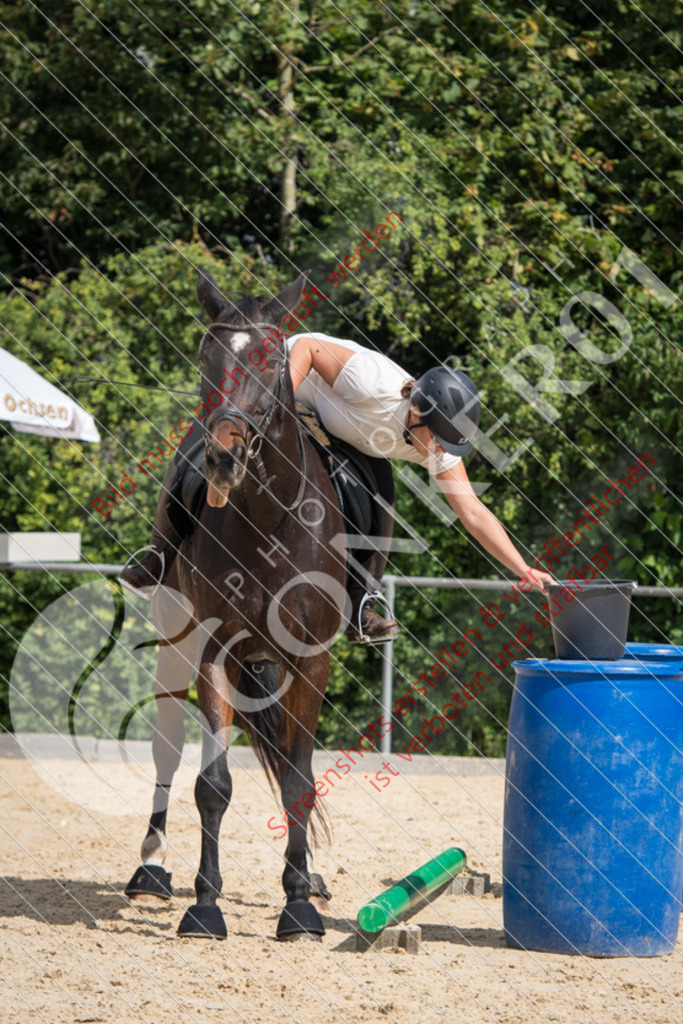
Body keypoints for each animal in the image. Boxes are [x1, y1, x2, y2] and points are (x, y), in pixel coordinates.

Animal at [122, 268, 348, 937]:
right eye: (206, 356)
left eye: (271, 357)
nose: (222, 454)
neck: (269, 520)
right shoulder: (212, 653)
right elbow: (213, 784)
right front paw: (204, 904)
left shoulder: (311, 663)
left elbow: (299, 779)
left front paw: (298, 902)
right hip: (175, 645)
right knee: (167, 747)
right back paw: (151, 867)